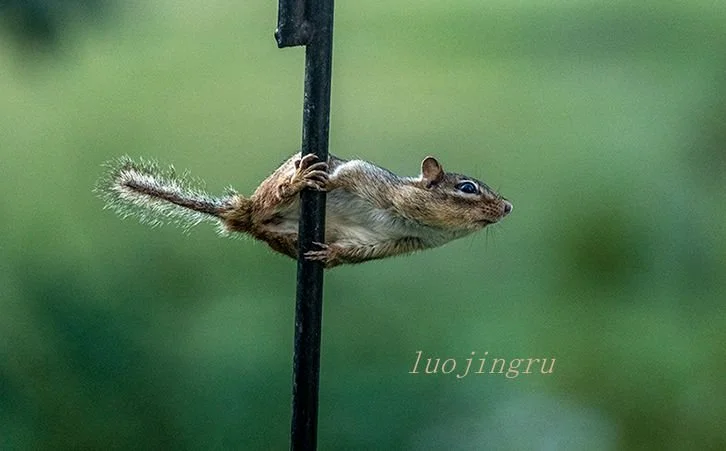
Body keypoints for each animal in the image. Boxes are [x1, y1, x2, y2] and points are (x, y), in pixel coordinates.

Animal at [98, 152, 512, 268]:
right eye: (467, 188)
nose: (508, 207)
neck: (412, 217)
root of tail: (243, 213)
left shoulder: (400, 242)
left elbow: (360, 251)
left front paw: (331, 255)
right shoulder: (370, 178)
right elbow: (345, 174)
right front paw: (322, 181)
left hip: (274, 231)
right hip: (271, 195)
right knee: (276, 196)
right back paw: (298, 180)